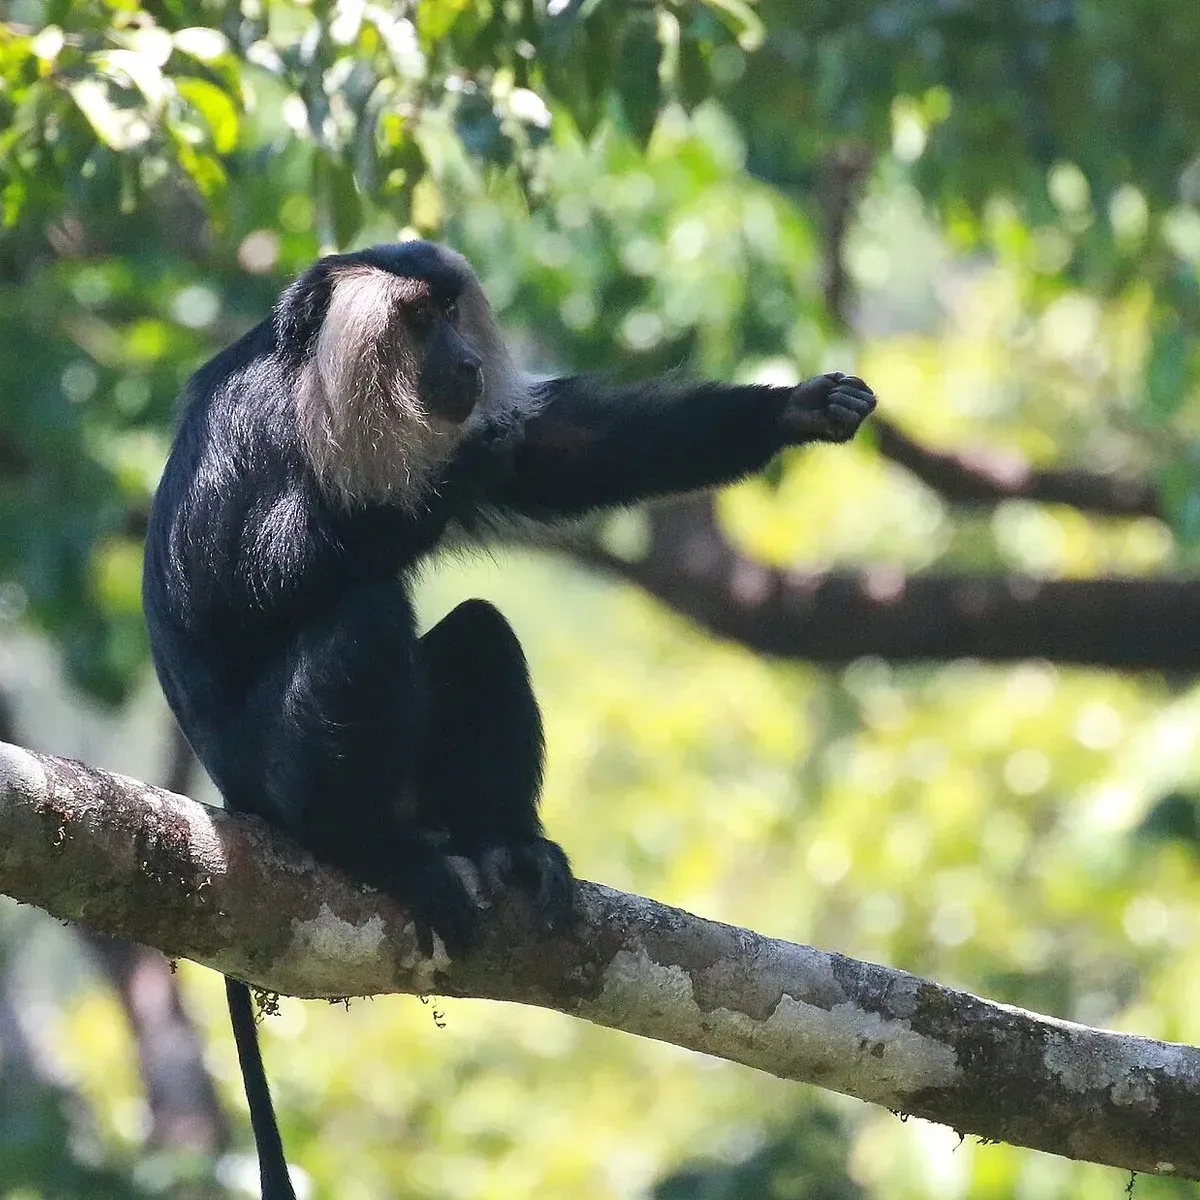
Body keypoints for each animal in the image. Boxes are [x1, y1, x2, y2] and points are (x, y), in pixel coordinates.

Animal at [141, 240, 876, 1199]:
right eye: (419, 320)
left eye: (455, 314)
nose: (464, 364)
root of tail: (232, 796)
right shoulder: (250, 422)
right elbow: (235, 588)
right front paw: (452, 481)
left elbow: (571, 453)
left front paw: (798, 407)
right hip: (271, 769)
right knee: (362, 617)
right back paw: (368, 847)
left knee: (479, 636)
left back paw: (506, 846)